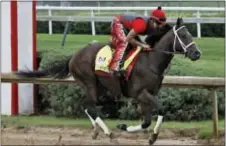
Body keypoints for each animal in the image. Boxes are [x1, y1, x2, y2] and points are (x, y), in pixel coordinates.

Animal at [15, 17, 201, 144]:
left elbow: (146, 121)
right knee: (90, 106)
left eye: (190, 34)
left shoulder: (147, 95)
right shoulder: (140, 93)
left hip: (100, 87)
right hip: (89, 82)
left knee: (86, 106)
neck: (151, 60)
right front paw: (153, 136)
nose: (197, 53)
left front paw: (126, 127)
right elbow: (159, 110)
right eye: (183, 35)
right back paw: (109, 134)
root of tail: (74, 56)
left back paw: (96, 130)